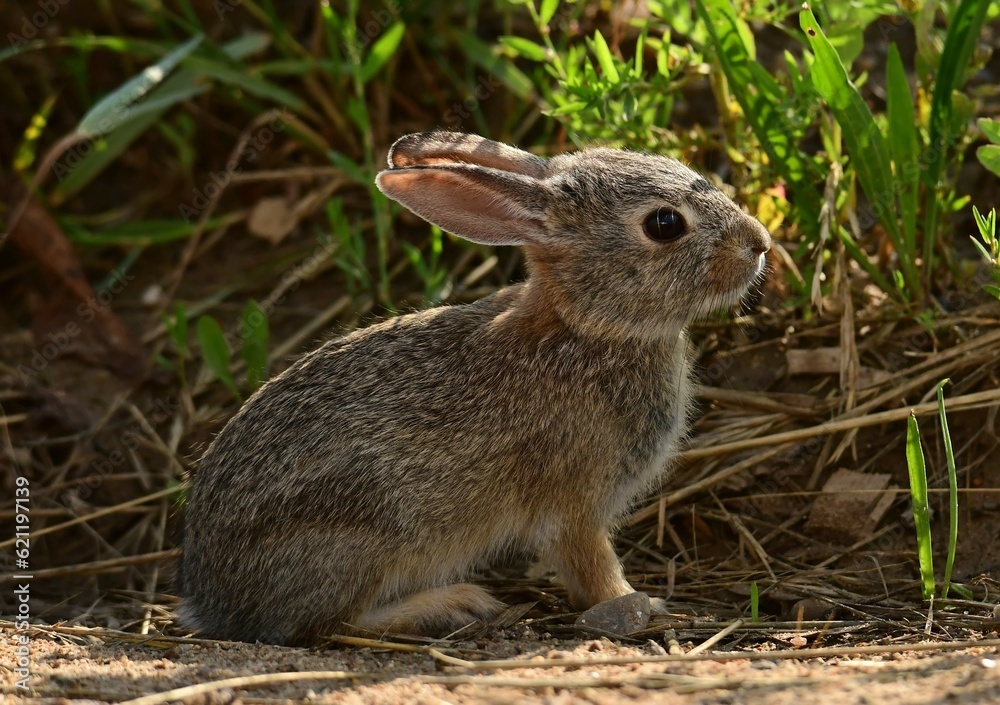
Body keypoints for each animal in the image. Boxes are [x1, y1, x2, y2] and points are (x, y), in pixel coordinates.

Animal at [176, 131, 771, 646]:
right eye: (665, 223)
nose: (760, 243)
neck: (588, 326)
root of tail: (211, 599)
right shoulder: (576, 502)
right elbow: (591, 566)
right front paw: (641, 604)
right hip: (362, 538)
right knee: (328, 624)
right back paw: (454, 603)